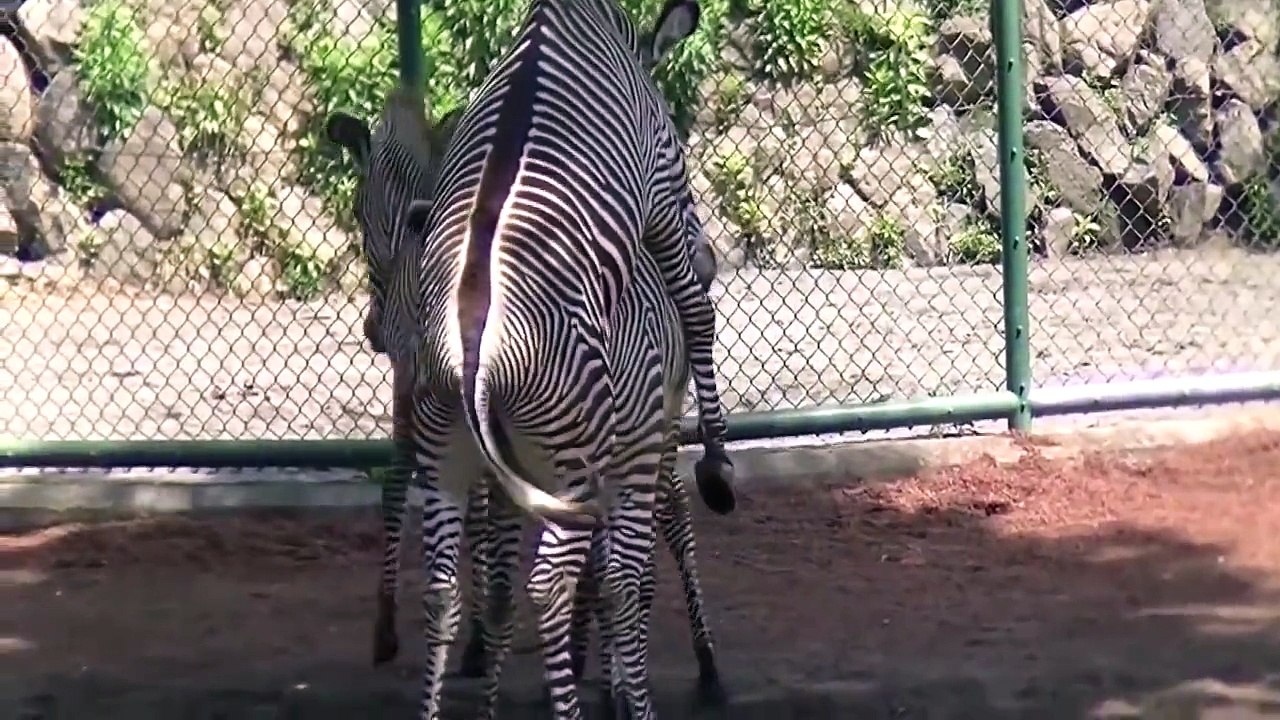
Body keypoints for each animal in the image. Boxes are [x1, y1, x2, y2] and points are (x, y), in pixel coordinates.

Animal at [354, 0, 736, 716]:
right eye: (679, 144)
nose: (711, 256)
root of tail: (473, 364)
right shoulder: (660, 180)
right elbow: (699, 312)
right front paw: (720, 462)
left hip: (451, 455)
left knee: (446, 590)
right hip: (571, 464)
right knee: (555, 584)